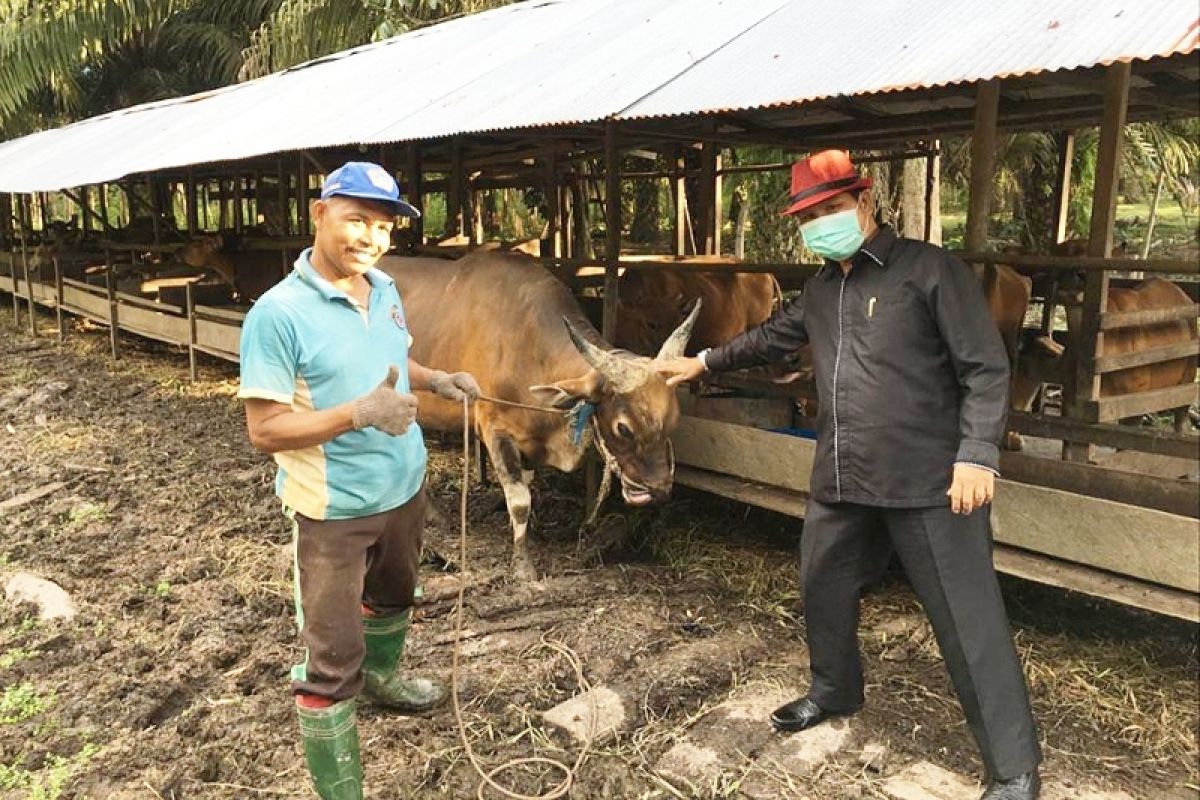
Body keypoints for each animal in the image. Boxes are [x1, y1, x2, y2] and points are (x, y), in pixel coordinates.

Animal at [379, 253, 700, 578]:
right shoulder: (495, 430)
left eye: (674, 420)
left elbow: (526, 487)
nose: (659, 489)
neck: (527, 345)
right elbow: (520, 500)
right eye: (624, 428)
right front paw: (523, 565)